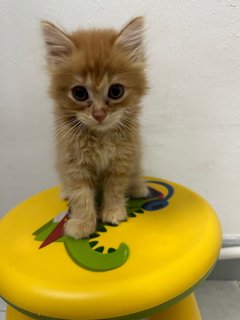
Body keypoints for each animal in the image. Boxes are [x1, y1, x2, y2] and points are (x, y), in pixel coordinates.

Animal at [41, 16, 148, 238]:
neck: (100, 137)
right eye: (79, 93)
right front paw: (82, 223)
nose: (99, 114)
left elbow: (115, 188)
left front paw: (114, 211)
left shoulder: (122, 160)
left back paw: (137, 187)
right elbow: (81, 195)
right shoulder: (73, 164)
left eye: (116, 91)